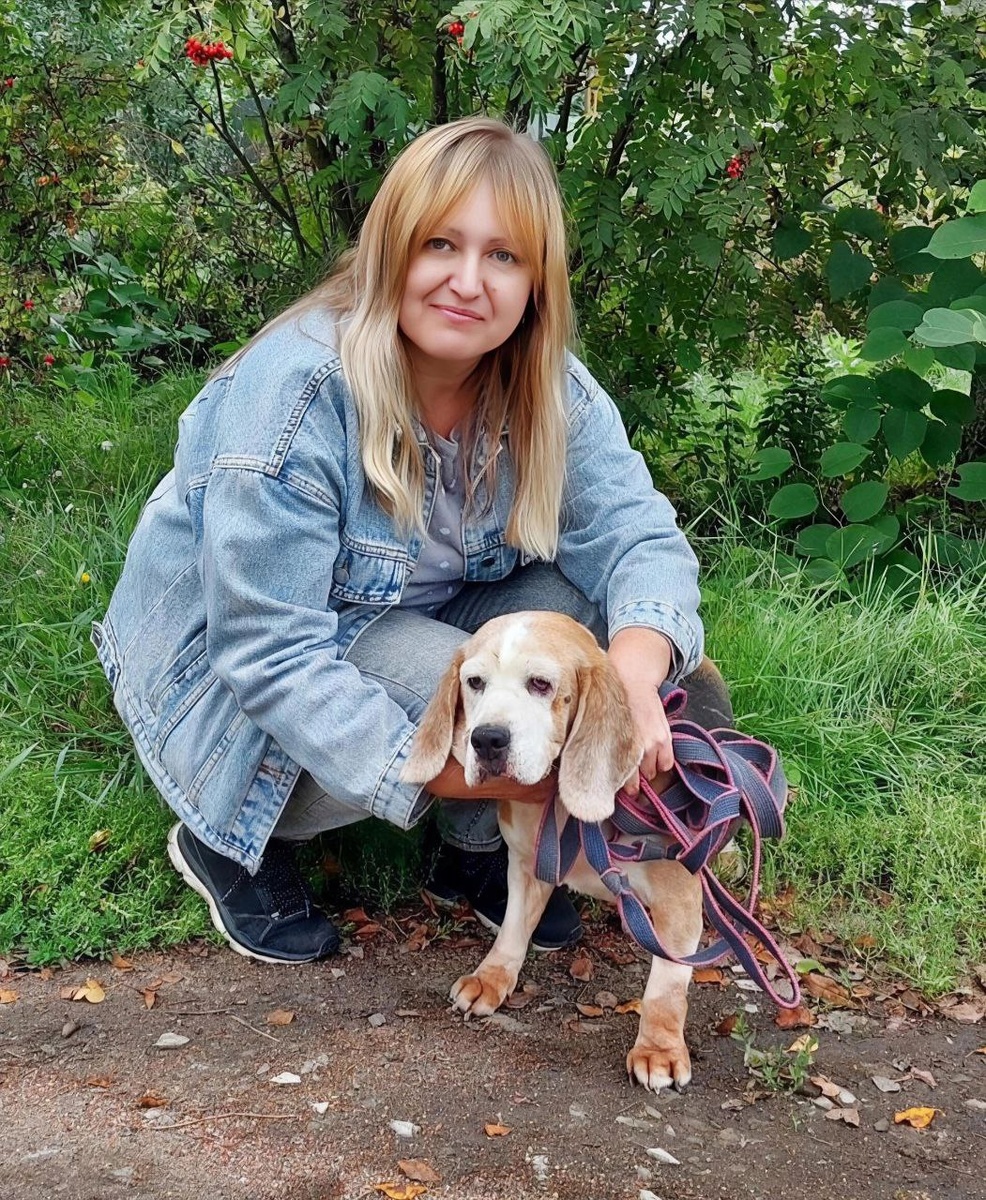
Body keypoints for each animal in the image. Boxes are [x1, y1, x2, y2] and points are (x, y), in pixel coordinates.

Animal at [402, 610, 720, 1092]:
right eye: (474, 682)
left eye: (540, 684)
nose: (487, 739)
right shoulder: (525, 864)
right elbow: (512, 929)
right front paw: (491, 979)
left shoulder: (679, 900)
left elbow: (666, 984)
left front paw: (658, 1051)